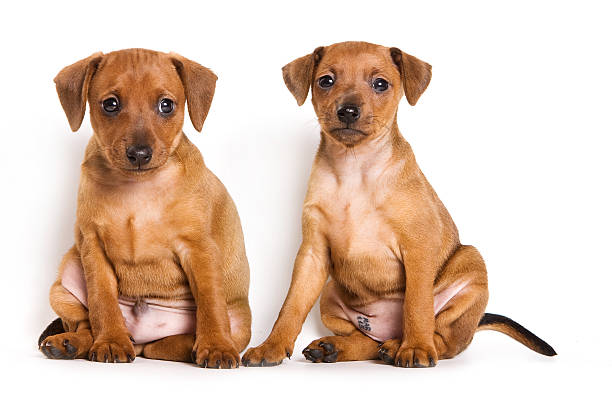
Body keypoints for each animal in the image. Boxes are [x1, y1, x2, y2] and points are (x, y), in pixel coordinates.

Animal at [37, 49, 251, 368]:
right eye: (110, 104)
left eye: (166, 105)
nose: (139, 154)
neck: (138, 187)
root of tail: (140, 337)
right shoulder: (93, 247)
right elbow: (102, 301)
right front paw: (111, 341)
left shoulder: (199, 249)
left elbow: (210, 302)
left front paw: (215, 346)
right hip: (64, 280)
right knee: (88, 325)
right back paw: (72, 343)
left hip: (238, 324)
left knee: (168, 344)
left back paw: (194, 346)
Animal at [243, 41, 556, 366]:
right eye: (326, 81)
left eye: (380, 84)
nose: (348, 111)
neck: (355, 168)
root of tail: (386, 330)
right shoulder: (313, 255)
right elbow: (290, 306)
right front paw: (271, 346)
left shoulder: (418, 248)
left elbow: (417, 305)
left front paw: (415, 347)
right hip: (330, 291)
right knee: (368, 342)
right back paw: (336, 347)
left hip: (471, 264)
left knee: (444, 340)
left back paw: (402, 345)